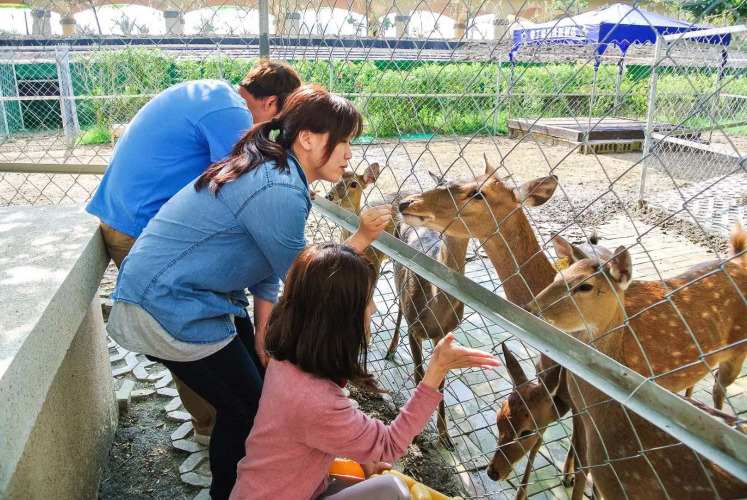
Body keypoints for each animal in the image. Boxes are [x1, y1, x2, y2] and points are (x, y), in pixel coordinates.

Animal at [524, 222, 747, 498]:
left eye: (585, 286)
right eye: (557, 276)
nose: (530, 308)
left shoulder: (621, 486)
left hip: (739, 350)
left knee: (718, 384)